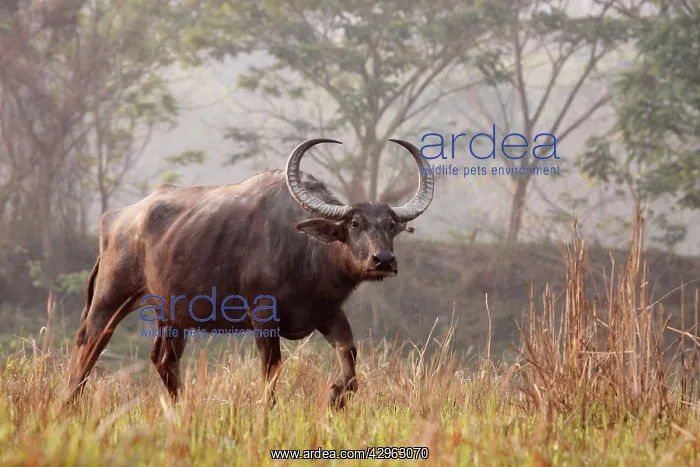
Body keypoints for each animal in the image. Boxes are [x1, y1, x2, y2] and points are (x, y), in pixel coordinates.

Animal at [66, 138, 434, 409]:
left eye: (391, 225)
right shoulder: (263, 317)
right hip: (112, 295)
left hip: (172, 315)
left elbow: (350, 364)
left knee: (164, 359)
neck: (304, 250)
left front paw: (335, 397)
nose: (383, 260)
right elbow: (271, 372)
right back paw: (68, 404)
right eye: (354, 223)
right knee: (89, 343)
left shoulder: (328, 313)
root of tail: (114, 219)